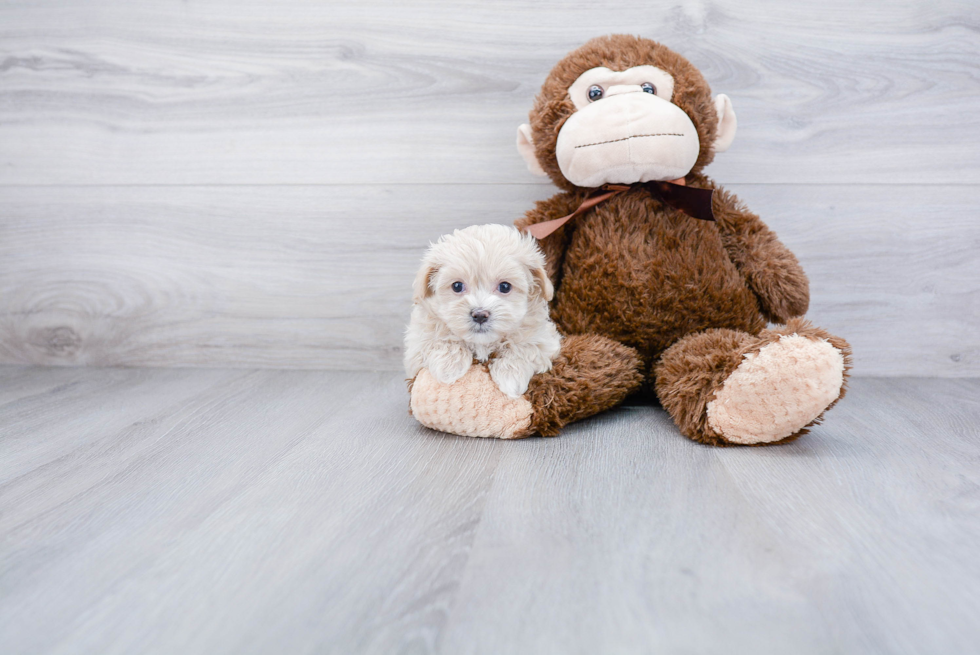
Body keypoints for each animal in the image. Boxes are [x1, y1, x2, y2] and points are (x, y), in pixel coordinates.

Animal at [404, 224, 560, 400]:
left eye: (505, 287)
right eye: (457, 286)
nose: (480, 315)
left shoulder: (546, 340)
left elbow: (526, 348)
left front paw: (511, 378)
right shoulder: (416, 344)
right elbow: (438, 340)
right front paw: (449, 366)